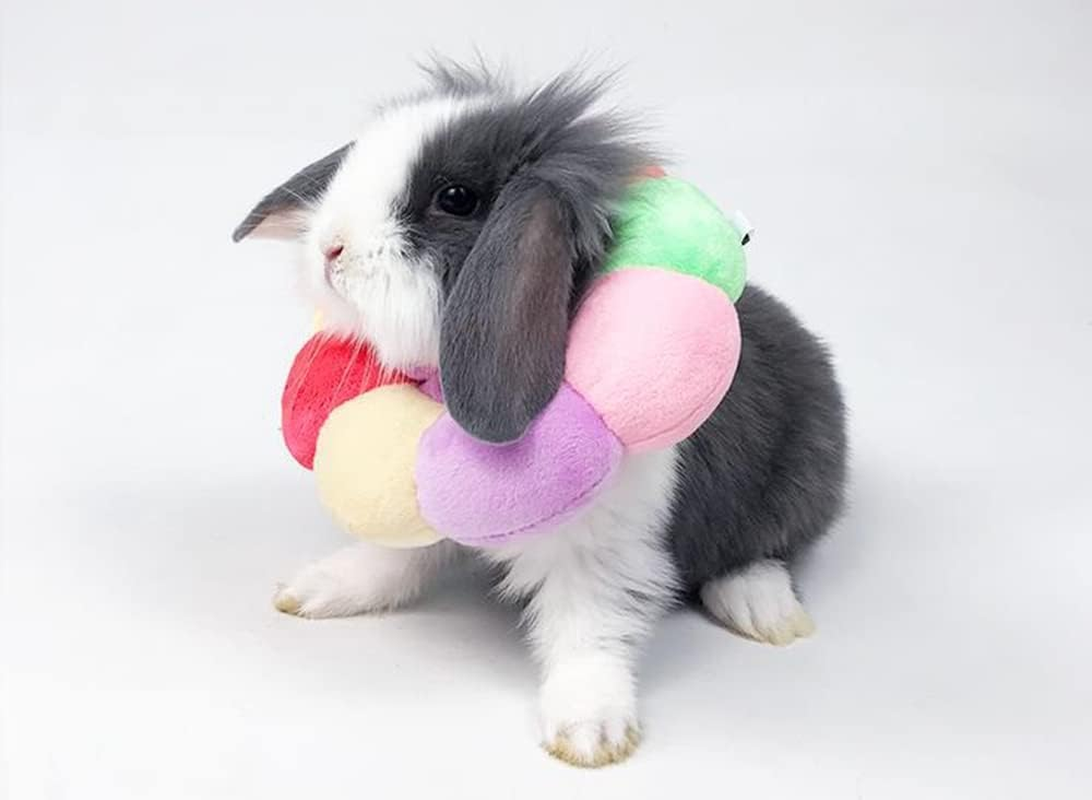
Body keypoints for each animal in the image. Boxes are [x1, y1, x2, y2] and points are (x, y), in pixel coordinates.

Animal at [233, 61, 847, 768]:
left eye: (456, 198)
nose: (330, 249)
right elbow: (395, 559)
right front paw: (318, 588)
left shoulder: (602, 547)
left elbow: (589, 627)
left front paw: (589, 732)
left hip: (799, 478)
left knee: (766, 549)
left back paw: (761, 607)